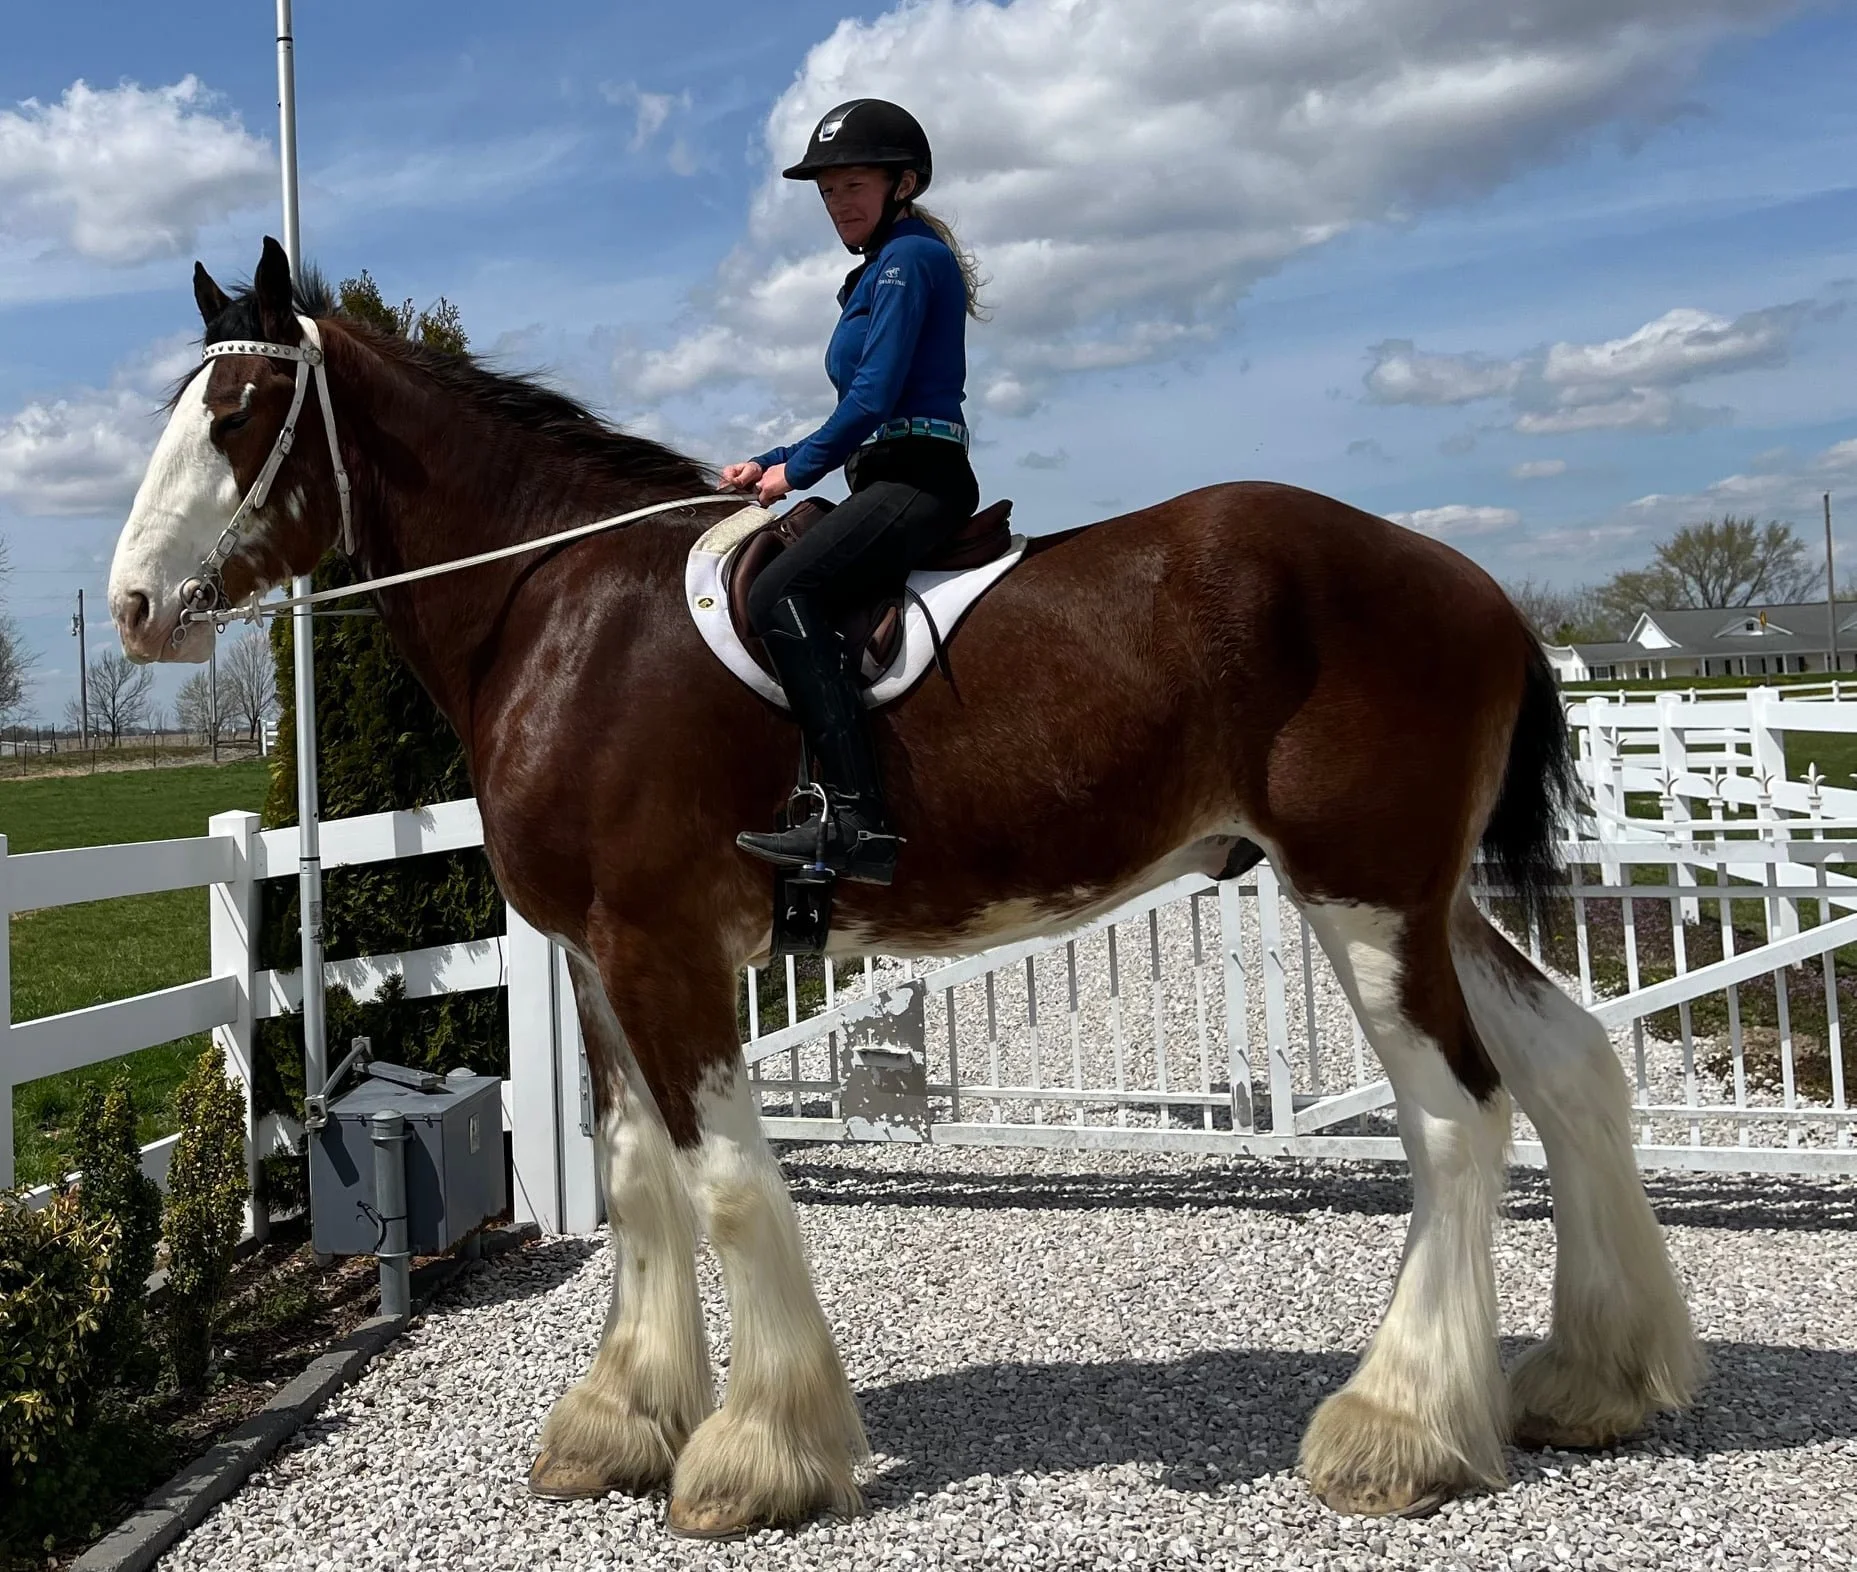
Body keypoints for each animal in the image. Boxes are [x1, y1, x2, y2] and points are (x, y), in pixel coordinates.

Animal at [108, 238, 1699, 1537]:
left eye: (235, 415)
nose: (130, 607)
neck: (564, 615)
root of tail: (1470, 583)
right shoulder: (591, 956)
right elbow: (634, 1182)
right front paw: (621, 1422)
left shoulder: (664, 947)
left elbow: (723, 1183)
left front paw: (757, 1455)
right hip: (1425, 901)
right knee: (1570, 1067)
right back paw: (1589, 1380)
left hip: (1362, 902)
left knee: (1457, 1118)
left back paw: (1401, 1430)